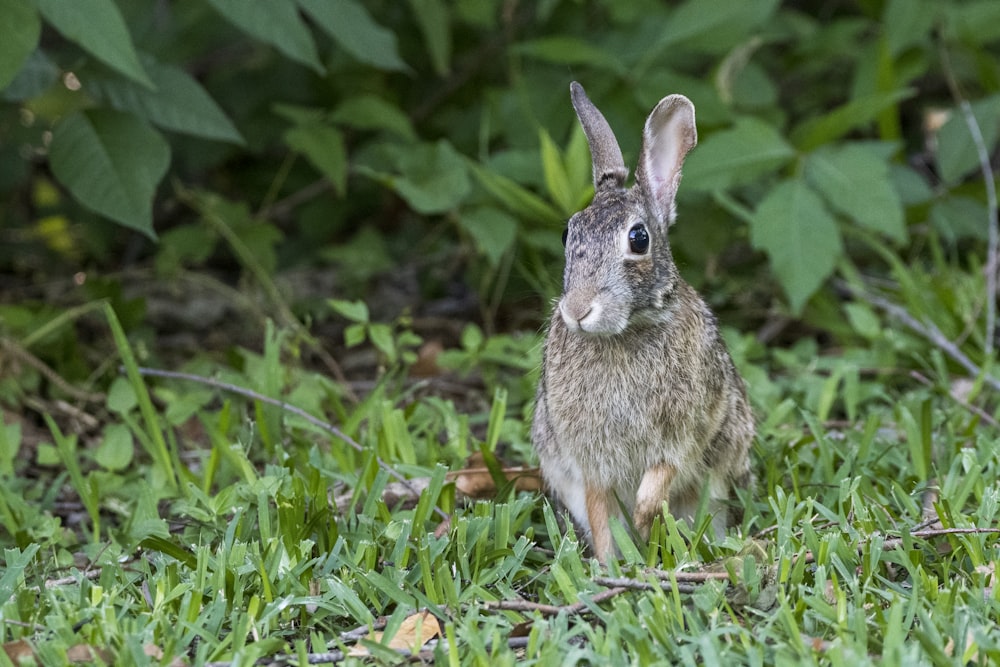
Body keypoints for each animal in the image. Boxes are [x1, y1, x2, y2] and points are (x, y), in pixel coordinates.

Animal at [532, 83, 752, 564]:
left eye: (638, 238)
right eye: (568, 233)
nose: (577, 310)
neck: (623, 334)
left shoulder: (683, 430)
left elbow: (663, 472)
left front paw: (643, 516)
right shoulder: (589, 460)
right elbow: (600, 510)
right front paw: (609, 561)